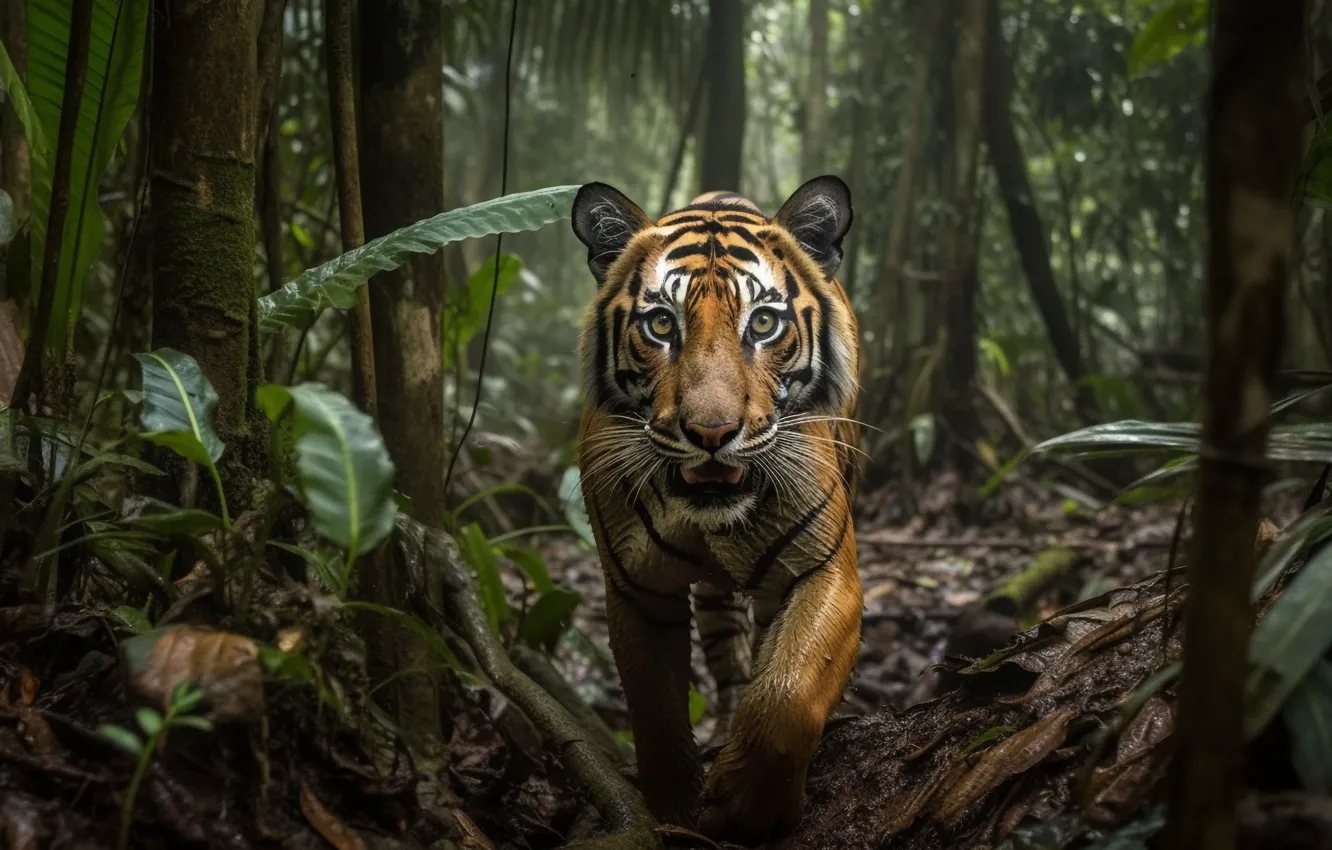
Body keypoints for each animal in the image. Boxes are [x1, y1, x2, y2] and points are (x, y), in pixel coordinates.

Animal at [570, 176, 864, 846]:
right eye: (660, 323)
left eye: (764, 323)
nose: (711, 433)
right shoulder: (637, 590)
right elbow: (654, 711)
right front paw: (674, 811)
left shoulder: (825, 569)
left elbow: (790, 687)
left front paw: (746, 807)